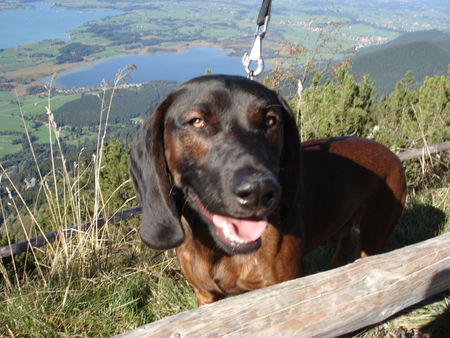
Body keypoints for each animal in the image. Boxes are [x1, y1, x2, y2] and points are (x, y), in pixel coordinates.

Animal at [128, 74, 406, 306]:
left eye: (271, 121)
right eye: (197, 121)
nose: (260, 191)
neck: (220, 250)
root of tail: (390, 153)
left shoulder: (281, 287)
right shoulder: (206, 297)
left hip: (374, 234)